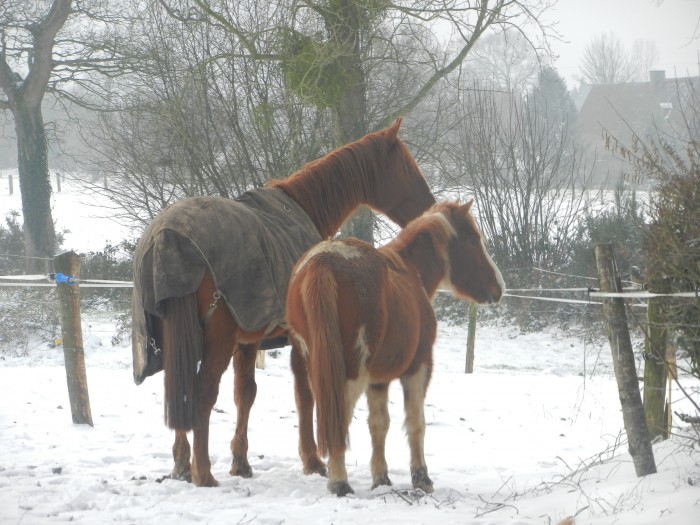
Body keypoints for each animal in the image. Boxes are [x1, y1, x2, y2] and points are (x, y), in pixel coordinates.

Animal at [131, 118, 434, 488]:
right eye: (405, 166)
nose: (429, 206)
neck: (302, 206)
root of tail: (168, 237)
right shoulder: (300, 341)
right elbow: (305, 395)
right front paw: (313, 460)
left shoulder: (247, 342)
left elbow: (245, 395)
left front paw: (241, 461)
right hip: (216, 342)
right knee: (202, 394)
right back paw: (203, 472)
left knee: (181, 392)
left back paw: (181, 465)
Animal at [284, 201, 504, 496]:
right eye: (472, 239)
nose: (499, 286)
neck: (410, 271)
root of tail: (322, 262)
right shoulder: (419, 368)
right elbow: (415, 423)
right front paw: (421, 477)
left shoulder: (379, 380)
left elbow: (379, 424)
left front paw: (381, 477)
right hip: (350, 373)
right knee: (339, 420)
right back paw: (340, 481)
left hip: (312, 364)